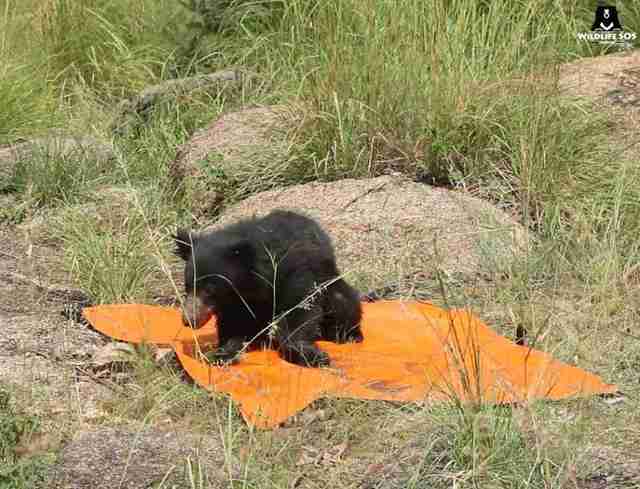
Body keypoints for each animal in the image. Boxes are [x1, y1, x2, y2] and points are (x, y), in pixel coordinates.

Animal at [173, 209, 363, 367]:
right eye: (187, 287)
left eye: (209, 290)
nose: (188, 320)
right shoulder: (236, 302)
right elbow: (235, 324)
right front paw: (222, 353)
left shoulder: (295, 275)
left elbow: (298, 313)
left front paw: (310, 355)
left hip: (332, 285)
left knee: (343, 304)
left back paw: (348, 335)